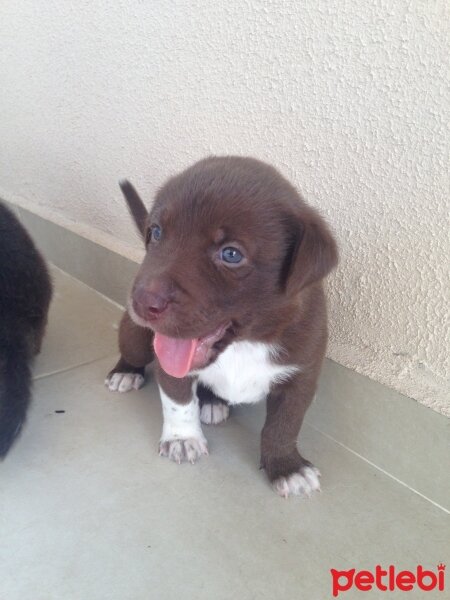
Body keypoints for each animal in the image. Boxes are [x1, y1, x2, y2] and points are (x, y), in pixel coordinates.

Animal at [106, 155, 338, 496]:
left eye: (231, 254)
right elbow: (178, 401)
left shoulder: (301, 376)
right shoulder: (170, 361)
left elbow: (283, 426)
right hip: (135, 337)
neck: (244, 343)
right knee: (132, 352)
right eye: (157, 233)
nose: (141, 300)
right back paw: (126, 373)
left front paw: (287, 467)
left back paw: (213, 402)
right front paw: (183, 439)